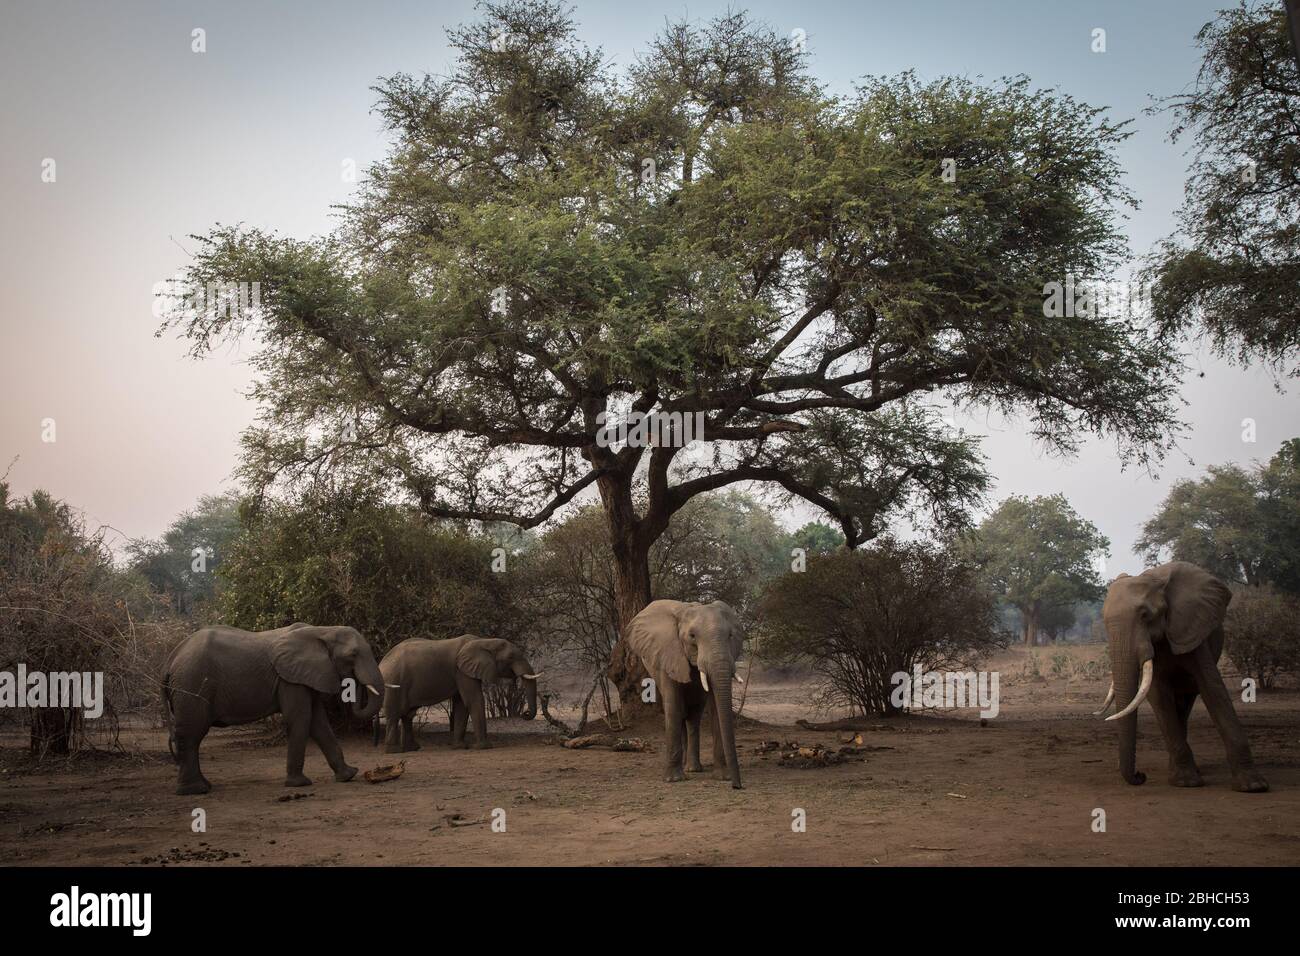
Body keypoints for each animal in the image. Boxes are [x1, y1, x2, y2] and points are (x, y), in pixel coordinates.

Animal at [160, 624, 382, 796]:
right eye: (353, 655)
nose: (355, 682)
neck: (323, 631)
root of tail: (170, 659)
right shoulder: (289, 679)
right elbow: (301, 718)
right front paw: (299, 784)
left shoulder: (307, 676)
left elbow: (319, 722)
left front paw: (349, 775)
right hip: (191, 685)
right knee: (192, 734)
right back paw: (195, 790)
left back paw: (203, 786)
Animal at [377, 634, 538, 754]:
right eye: (510, 657)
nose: (525, 714)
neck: (484, 641)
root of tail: (382, 662)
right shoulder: (462, 672)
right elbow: (473, 700)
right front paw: (483, 747)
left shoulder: (463, 672)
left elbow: (461, 704)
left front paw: (460, 747)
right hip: (394, 681)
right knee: (394, 714)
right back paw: (394, 751)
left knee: (407, 715)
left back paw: (412, 749)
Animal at [621, 598, 743, 790]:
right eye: (692, 636)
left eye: (730, 635)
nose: (737, 786)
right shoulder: (667, 653)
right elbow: (673, 706)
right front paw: (674, 780)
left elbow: (716, 707)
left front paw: (723, 777)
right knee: (680, 712)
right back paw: (687, 768)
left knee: (693, 716)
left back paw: (693, 768)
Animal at [1097, 561, 1268, 790]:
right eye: (1104, 622)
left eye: (1145, 615)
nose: (1140, 775)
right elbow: (1159, 696)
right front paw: (1186, 782)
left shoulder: (1190, 630)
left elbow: (1213, 689)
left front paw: (1253, 786)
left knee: (1187, 701)